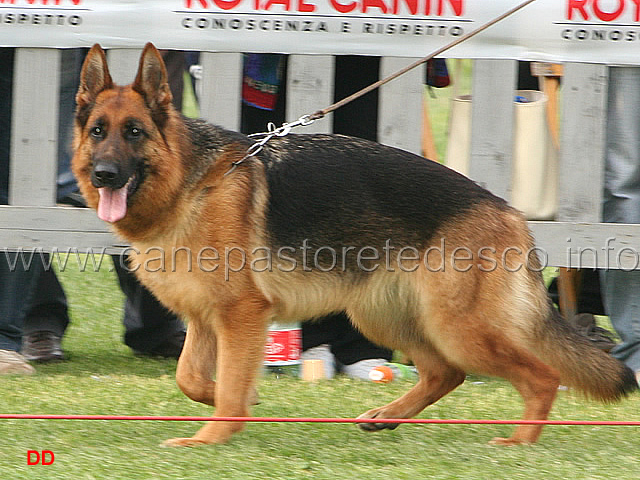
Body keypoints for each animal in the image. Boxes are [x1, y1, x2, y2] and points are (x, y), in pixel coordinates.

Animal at [74, 44, 636, 446]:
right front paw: (239, 403)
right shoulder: (206, 317)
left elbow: (226, 384)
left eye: (135, 132)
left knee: (539, 376)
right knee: (444, 373)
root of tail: (508, 211)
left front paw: (213, 434)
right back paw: (388, 417)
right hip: (389, 317)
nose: (104, 175)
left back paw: (518, 443)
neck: (190, 185)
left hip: (457, 328)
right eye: (98, 132)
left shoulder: (240, 315)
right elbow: (191, 378)